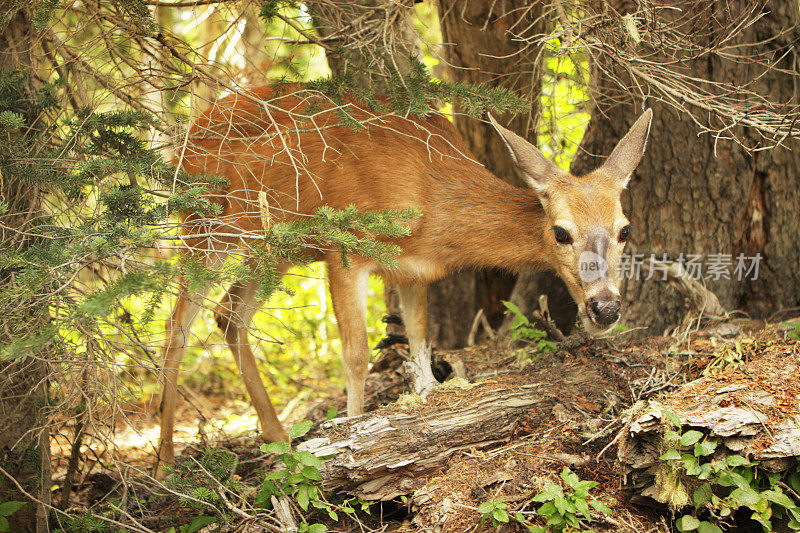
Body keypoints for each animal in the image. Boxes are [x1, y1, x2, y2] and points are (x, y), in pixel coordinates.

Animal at [155, 83, 648, 470]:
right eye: (561, 232)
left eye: (625, 229)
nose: (605, 306)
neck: (432, 202)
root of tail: (184, 142)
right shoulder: (346, 248)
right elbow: (356, 355)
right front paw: (349, 441)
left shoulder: (415, 273)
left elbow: (420, 344)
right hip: (206, 227)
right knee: (176, 327)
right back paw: (164, 466)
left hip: (274, 248)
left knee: (229, 315)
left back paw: (277, 439)